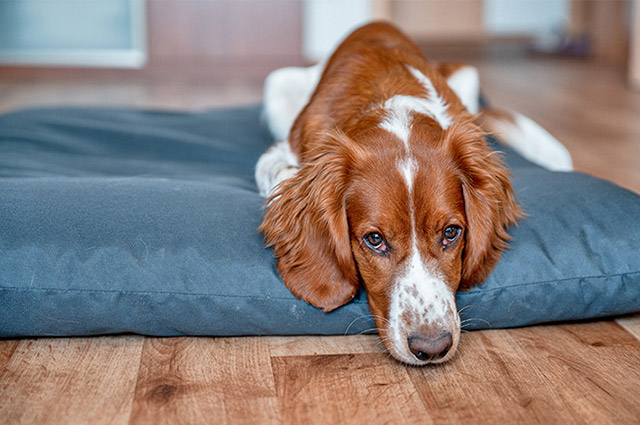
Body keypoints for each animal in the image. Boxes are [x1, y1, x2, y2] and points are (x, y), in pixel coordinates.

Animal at [254, 22, 568, 364]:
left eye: (451, 233)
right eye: (374, 240)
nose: (431, 348)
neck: (392, 103)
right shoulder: (277, 154)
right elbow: (283, 175)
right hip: (277, 84)